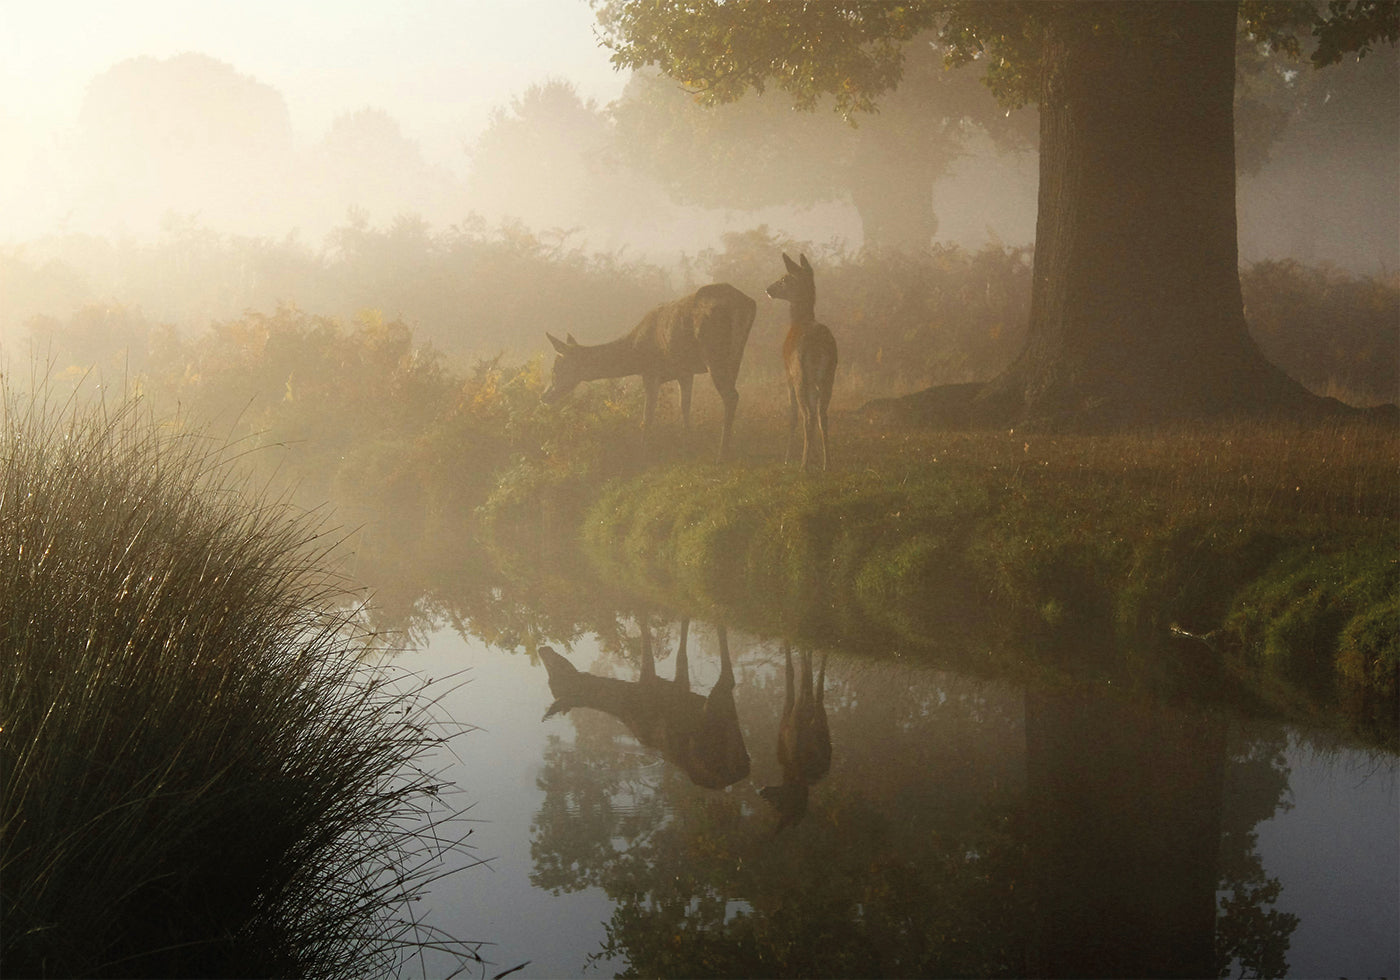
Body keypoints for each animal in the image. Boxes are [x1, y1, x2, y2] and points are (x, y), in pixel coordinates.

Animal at [538, 618, 750, 790]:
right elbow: (680, 650)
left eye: (557, 673)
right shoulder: (677, 688)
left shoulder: (654, 683)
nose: (543, 649)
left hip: (714, 714)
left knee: (728, 678)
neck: (626, 699)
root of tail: (744, 768)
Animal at [541, 283, 757, 463]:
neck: (635, 355)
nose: (544, 395)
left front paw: (643, 453)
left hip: (713, 351)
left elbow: (648, 414)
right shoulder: (684, 371)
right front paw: (688, 442)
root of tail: (746, 303)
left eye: (556, 368)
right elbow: (684, 406)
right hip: (736, 354)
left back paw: (722, 454)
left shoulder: (650, 372)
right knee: (733, 394)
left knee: (730, 396)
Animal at [760, 643, 831, 833]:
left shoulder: (790, 715)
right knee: (814, 688)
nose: (762, 791)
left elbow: (791, 674)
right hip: (817, 723)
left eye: (778, 807)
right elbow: (805, 673)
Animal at [766, 253, 837, 471]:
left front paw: (788, 457)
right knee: (822, 415)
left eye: (784, 278)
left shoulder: (787, 374)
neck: (798, 321)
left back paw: (803, 465)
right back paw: (827, 464)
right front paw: (815, 456)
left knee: (807, 416)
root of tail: (819, 345)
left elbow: (792, 415)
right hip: (829, 375)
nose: (768, 289)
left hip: (800, 375)